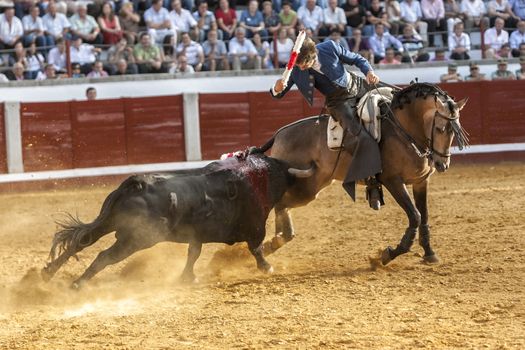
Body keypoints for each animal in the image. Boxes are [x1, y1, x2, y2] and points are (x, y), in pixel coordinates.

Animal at [42, 154, 312, 288]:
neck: (258, 177)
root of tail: (136, 184)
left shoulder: (197, 235)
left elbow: (193, 253)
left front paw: (187, 277)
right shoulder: (255, 226)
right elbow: (255, 248)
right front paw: (267, 267)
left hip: (107, 223)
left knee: (81, 242)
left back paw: (47, 273)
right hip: (136, 239)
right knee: (103, 257)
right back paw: (77, 284)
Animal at [258, 82, 466, 266]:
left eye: (455, 130)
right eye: (440, 128)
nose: (442, 164)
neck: (403, 129)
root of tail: (279, 134)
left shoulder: (421, 182)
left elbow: (424, 216)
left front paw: (430, 253)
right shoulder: (393, 181)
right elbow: (415, 216)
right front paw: (388, 254)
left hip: (312, 187)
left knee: (282, 206)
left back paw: (275, 241)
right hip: (304, 187)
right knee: (279, 204)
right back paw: (270, 245)